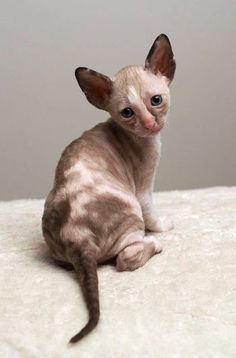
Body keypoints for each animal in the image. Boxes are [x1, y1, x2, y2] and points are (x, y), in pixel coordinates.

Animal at [42, 34, 175, 344]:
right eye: (127, 113)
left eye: (156, 101)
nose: (149, 124)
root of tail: (77, 237)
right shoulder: (143, 190)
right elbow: (153, 216)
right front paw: (164, 227)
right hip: (130, 211)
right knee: (125, 259)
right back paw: (154, 244)